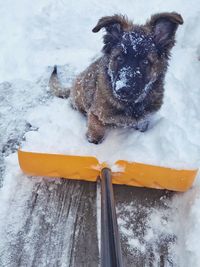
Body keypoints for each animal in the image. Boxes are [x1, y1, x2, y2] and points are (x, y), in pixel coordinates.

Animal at [49, 12, 183, 144]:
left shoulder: (144, 120)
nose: (123, 89)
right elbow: (95, 134)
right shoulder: (96, 116)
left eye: (145, 62)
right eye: (119, 58)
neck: (130, 105)